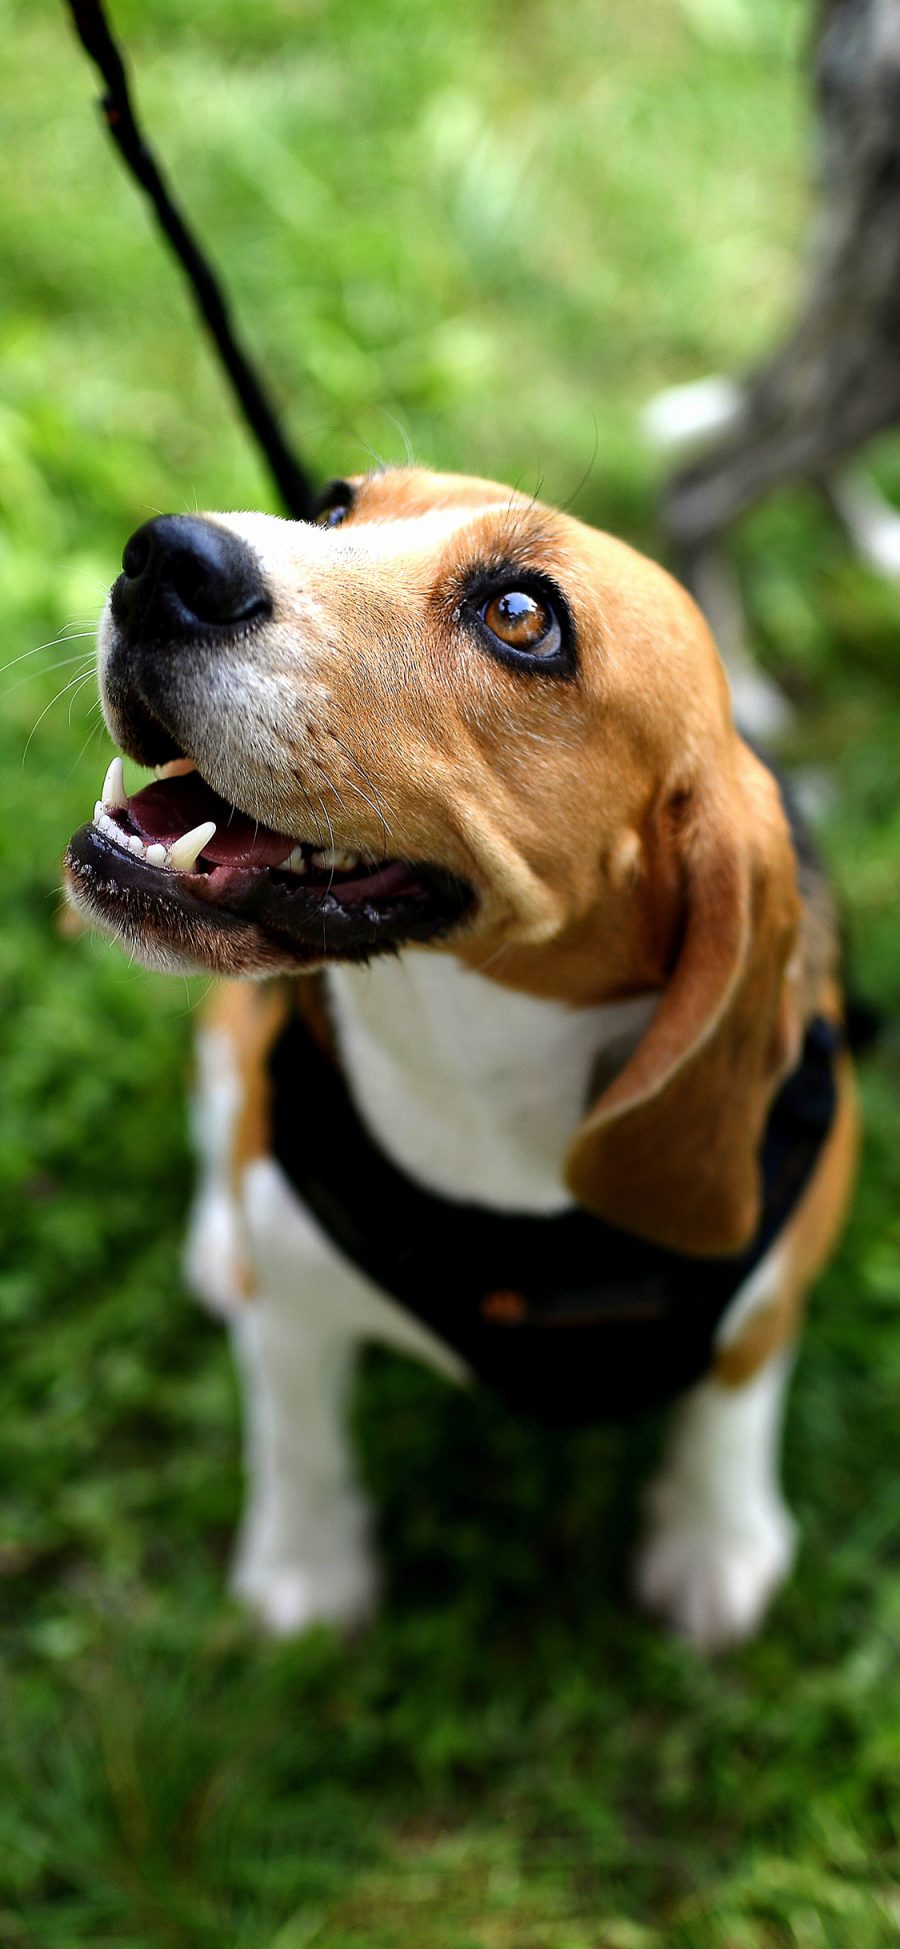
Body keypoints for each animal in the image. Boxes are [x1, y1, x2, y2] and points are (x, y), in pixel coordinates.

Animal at [65, 467, 857, 1644]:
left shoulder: (774, 1279)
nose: (166, 556)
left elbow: (731, 1399)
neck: (472, 1073)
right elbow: (298, 1437)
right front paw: (307, 1570)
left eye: (521, 616)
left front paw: (714, 1544)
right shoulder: (295, 1299)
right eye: (334, 505)